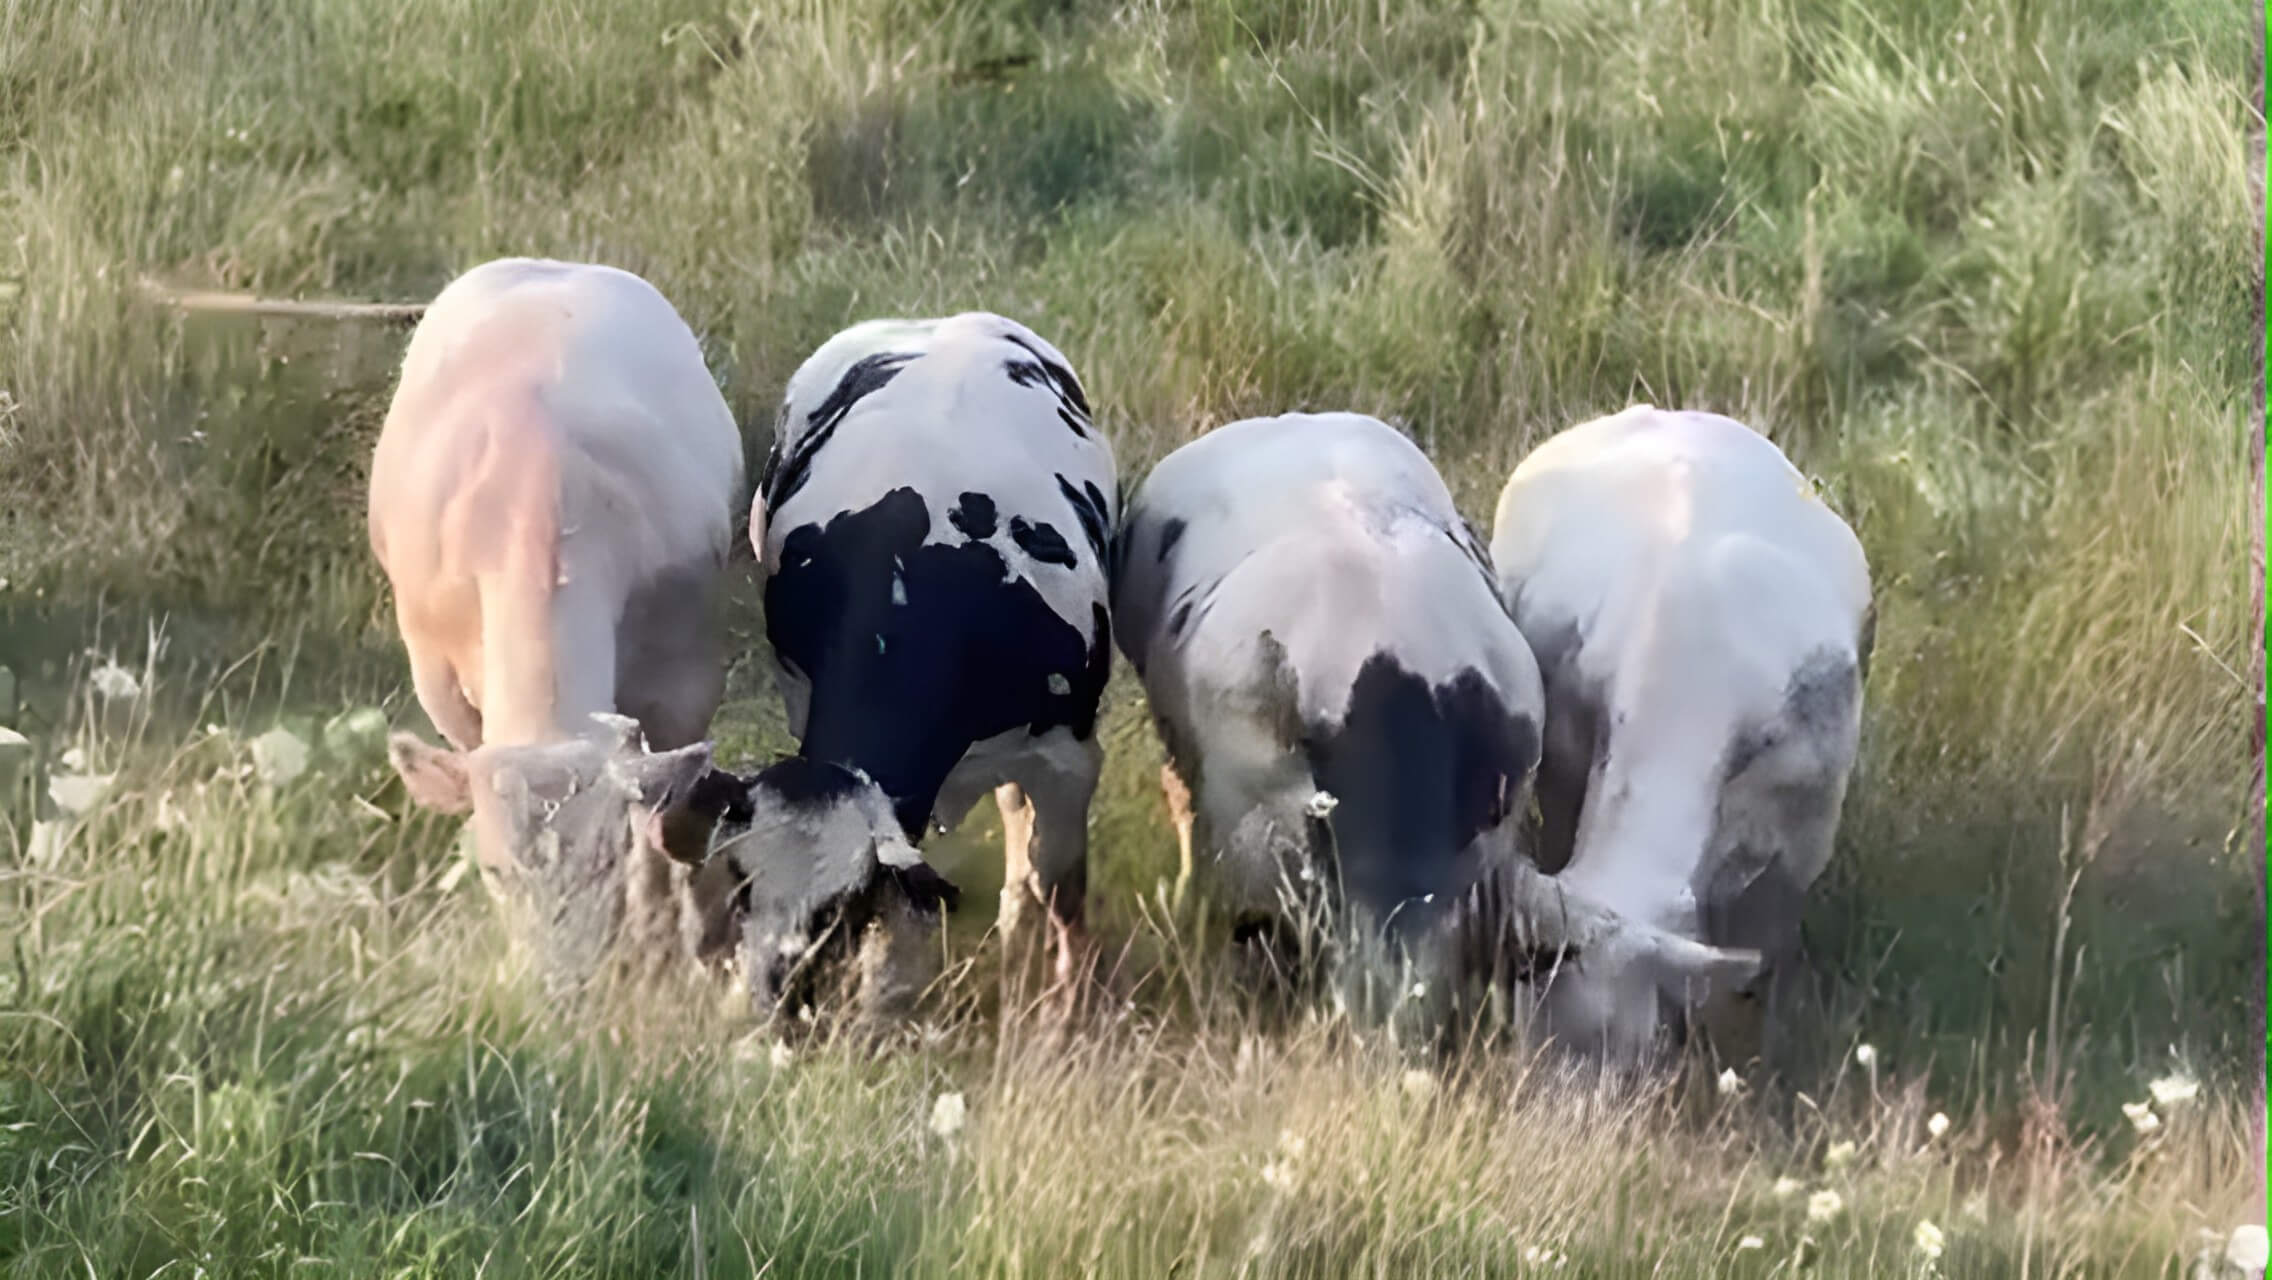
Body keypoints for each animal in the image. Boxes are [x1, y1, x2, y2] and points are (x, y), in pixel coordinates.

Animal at [706, 311, 1115, 1022]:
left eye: (838, 908)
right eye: (741, 881)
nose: (758, 1002)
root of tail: (949, 322)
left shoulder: (1069, 755)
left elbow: (1059, 880)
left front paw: (1067, 1010)